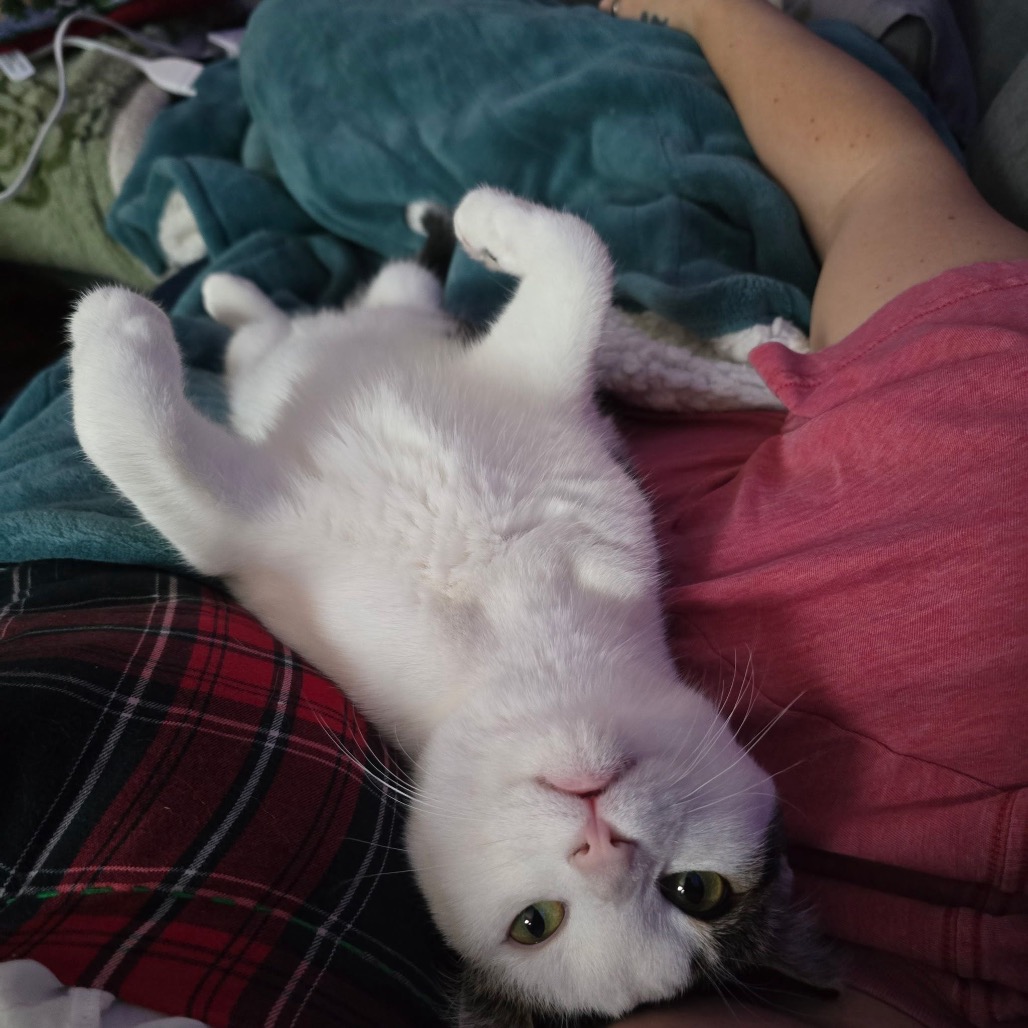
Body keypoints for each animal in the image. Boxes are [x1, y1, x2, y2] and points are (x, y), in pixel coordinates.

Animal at [69, 187, 833, 1027]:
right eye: (700, 890)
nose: (601, 841)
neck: (520, 636)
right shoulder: (538, 385)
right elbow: (582, 251)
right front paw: (490, 222)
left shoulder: (238, 531)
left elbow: (146, 457)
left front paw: (115, 322)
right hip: (364, 330)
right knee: (331, 311)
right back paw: (251, 282)